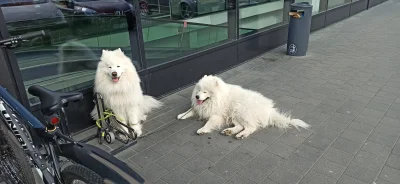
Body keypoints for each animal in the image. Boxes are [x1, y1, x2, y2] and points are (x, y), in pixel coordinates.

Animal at [177, 74, 310, 139]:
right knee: (240, 126)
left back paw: (241, 135)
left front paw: (202, 130)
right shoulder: (201, 107)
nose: (197, 97)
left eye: (205, 91)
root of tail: (269, 111)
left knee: (251, 127)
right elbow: (191, 110)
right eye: (199, 90)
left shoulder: (217, 115)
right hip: (235, 114)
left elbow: (209, 123)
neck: (217, 98)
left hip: (240, 110)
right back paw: (229, 131)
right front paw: (181, 115)